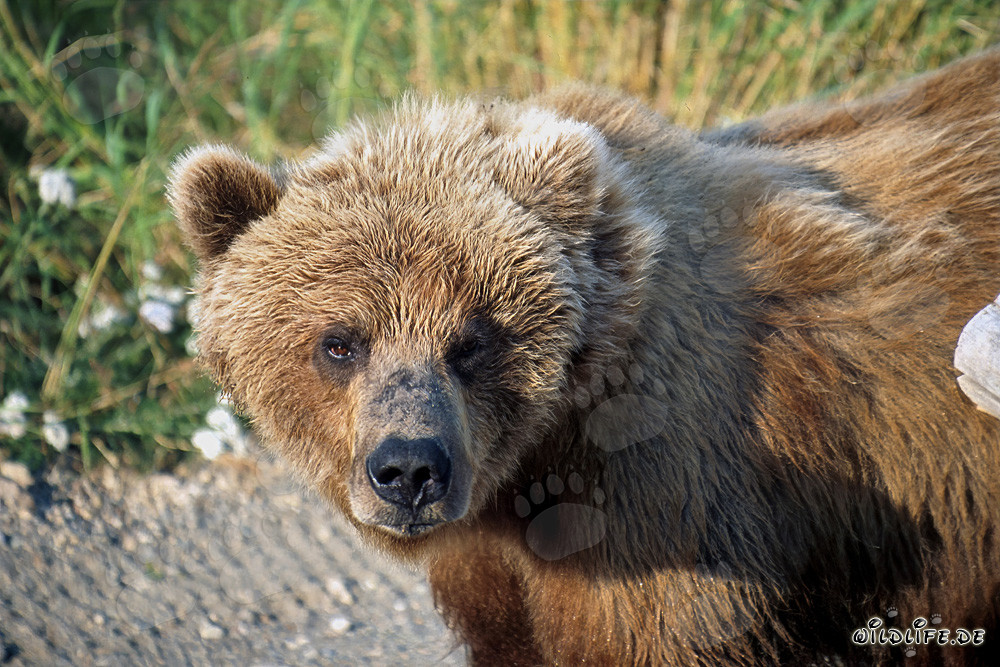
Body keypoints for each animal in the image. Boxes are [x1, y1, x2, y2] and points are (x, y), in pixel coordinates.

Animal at [168, 48, 1000, 666]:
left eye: (473, 339)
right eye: (340, 341)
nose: (409, 468)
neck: (529, 464)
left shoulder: (666, 507)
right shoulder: (497, 568)